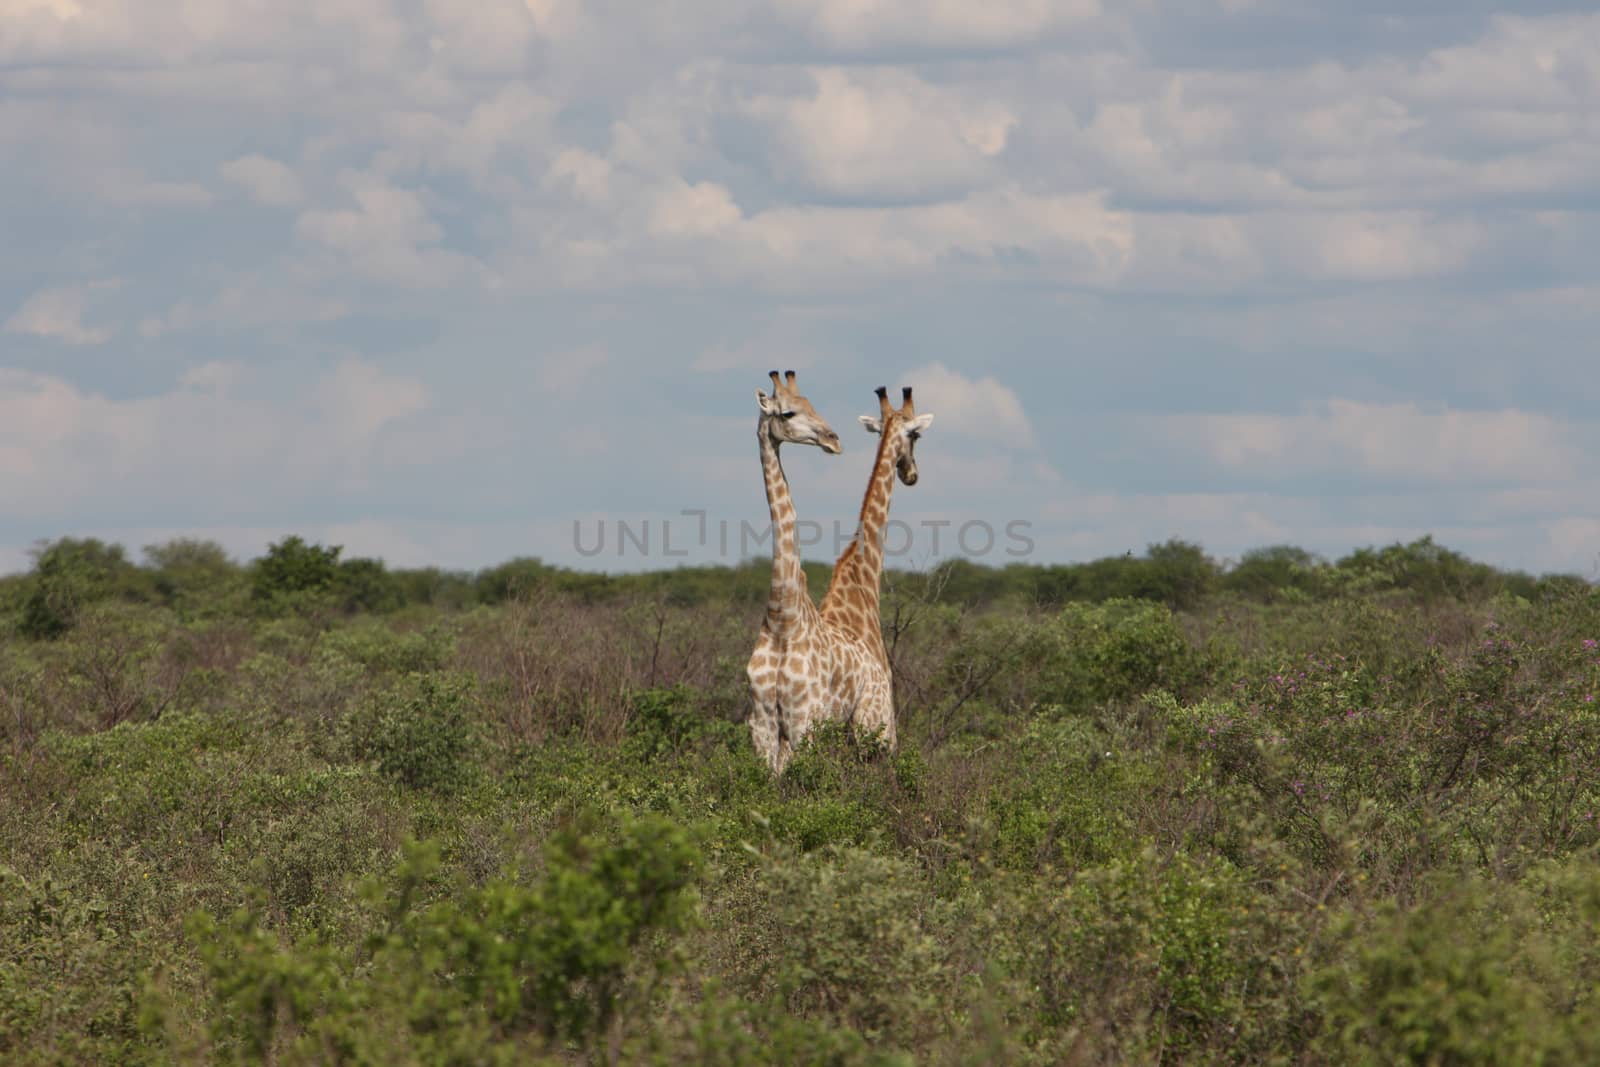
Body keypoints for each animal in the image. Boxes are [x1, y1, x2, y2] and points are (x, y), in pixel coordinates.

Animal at [748, 371, 851, 771]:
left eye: (813, 404)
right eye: (788, 413)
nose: (834, 440)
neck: (782, 617)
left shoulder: (803, 719)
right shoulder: (762, 722)